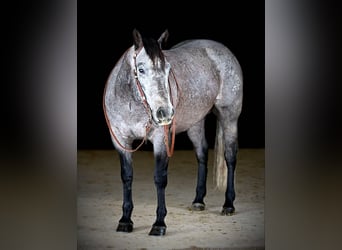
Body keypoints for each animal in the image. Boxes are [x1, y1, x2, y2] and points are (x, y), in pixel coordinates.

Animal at [102, 29, 243, 236]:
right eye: (141, 70)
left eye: (168, 70)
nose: (165, 113)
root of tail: (220, 49)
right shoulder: (121, 141)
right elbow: (127, 177)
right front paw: (125, 220)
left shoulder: (161, 140)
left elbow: (160, 178)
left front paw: (159, 224)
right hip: (195, 123)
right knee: (202, 154)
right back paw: (198, 201)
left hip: (229, 118)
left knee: (230, 157)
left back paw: (228, 204)